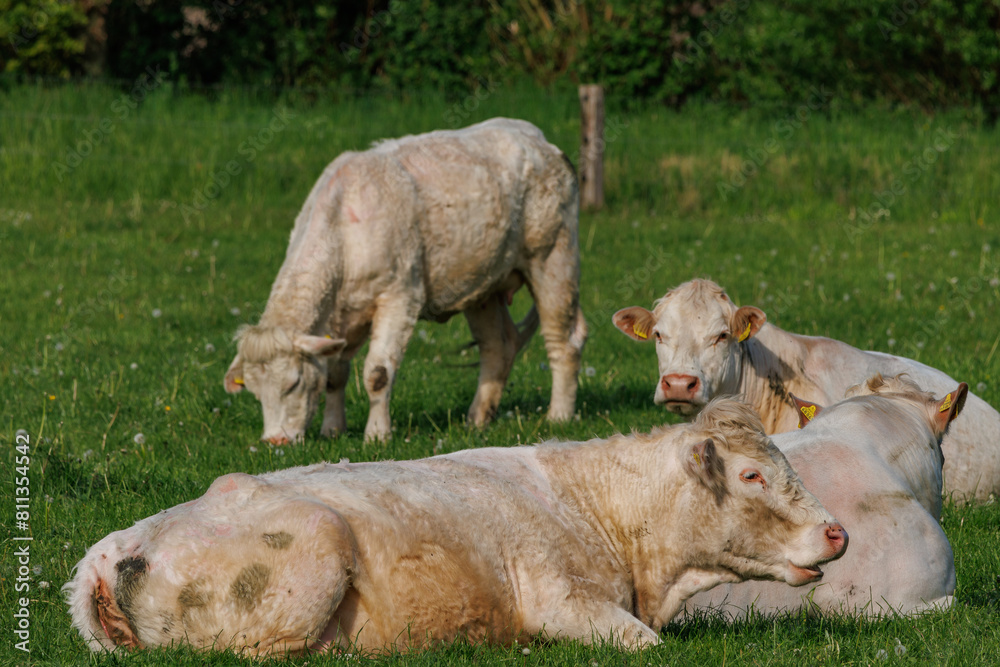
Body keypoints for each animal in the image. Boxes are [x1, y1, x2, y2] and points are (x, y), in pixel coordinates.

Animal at [224, 118, 587, 443]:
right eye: (255, 392)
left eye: (294, 382)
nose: (275, 442)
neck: (345, 230)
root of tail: (537, 139)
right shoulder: (341, 317)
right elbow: (335, 374)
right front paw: (332, 429)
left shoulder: (400, 297)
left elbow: (377, 373)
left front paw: (377, 435)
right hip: (483, 285)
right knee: (498, 345)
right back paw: (477, 418)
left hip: (553, 257)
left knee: (564, 339)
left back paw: (558, 416)